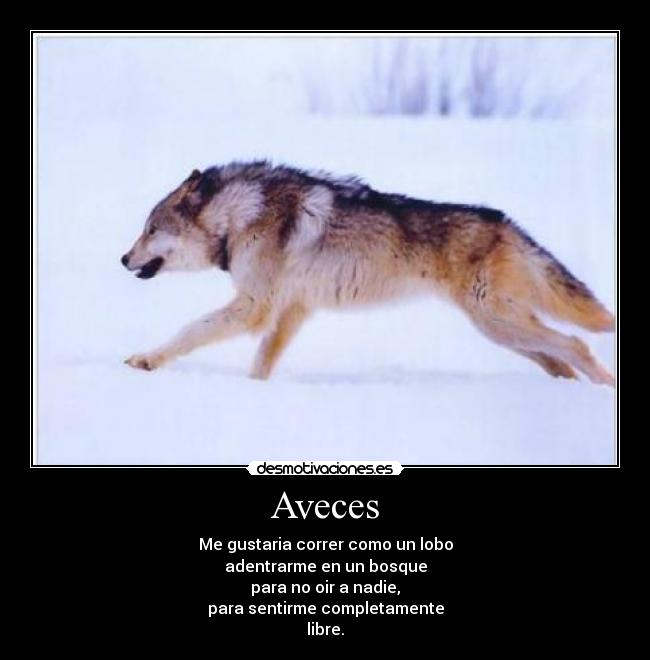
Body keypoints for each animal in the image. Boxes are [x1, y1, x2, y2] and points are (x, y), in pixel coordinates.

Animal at [121, 161, 615, 385]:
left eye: (150, 229)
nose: (123, 259)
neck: (238, 217)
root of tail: (504, 222)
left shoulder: (254, 306)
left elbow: (189, 331)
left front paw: (146, 359)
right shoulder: (292, 309)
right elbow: (261, 362)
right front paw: (255, 390)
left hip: (499, 322)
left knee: (576, 345)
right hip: (502, 331)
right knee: (559, 360)